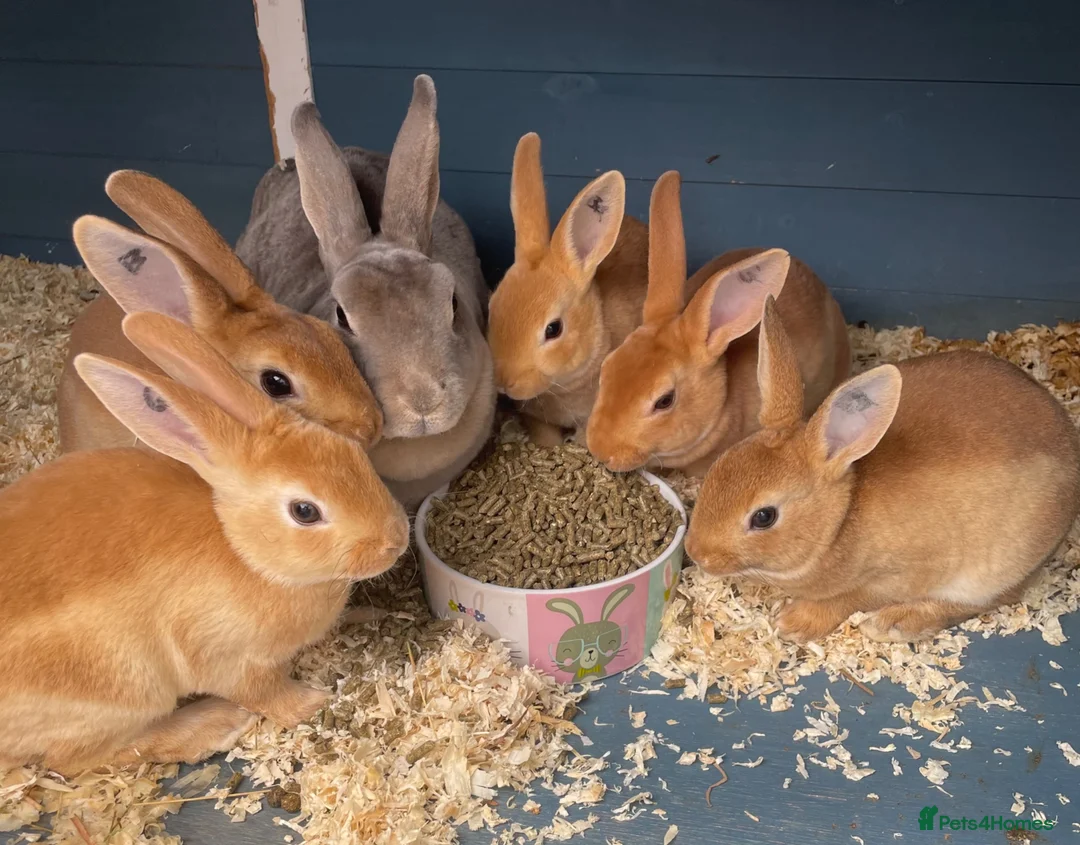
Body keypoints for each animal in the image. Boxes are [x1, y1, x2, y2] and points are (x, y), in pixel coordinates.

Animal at [0, 311, 409, 774]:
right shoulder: (229, 659)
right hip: (121, 692)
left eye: (355, 455)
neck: (243, 551)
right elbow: (267, 693)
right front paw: (314, 703)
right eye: (305, 511)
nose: (396, 541)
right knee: (79, 760)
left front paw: (367, 613)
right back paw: (216, 723)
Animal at [684, 295, 1080, 644]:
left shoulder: (898, 576)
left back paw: (894, 624)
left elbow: (850, 598)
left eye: (764, 517)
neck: (839, 521)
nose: (696, 553)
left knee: (988, 600)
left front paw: (794, 623)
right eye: (719, 468)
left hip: (996, 569)